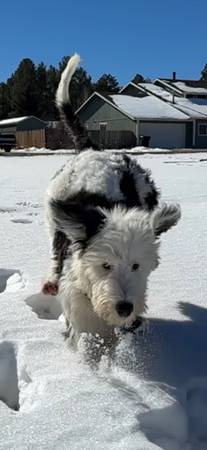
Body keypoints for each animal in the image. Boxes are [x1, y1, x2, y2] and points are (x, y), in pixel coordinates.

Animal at [42, 53, 181, 348]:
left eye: (137, 265)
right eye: (105, 265)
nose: (124, 308)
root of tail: (94, 148)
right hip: (54, 220)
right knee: (55, 252)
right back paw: (50, 281)